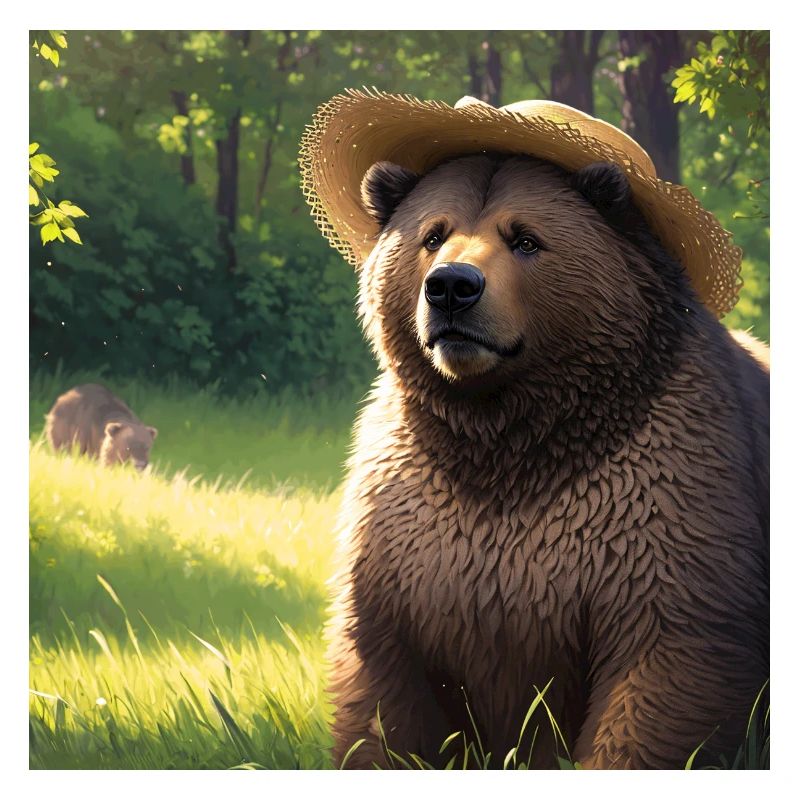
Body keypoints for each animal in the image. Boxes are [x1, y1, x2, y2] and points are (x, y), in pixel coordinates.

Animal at [325, 153, 769, 769]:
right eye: (432, 234)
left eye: (526, 239)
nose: (452, 287)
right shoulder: (407, 522)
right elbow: (387, 690)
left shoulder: (662, 496)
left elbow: (669, 662)